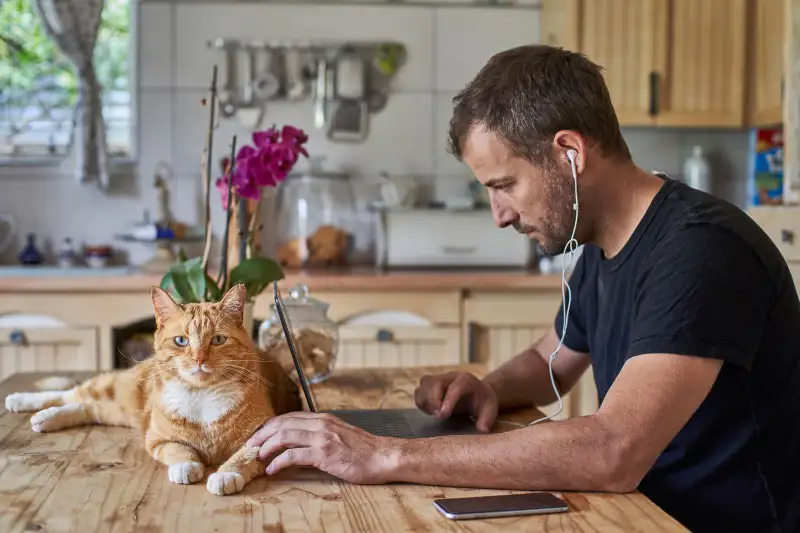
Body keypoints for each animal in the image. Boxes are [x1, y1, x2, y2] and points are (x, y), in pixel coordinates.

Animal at [3, 282, 302, 494]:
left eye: (218, 340)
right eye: (181, 341)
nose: (199, 359)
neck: (202, 396)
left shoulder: (264, 437)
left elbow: (243, 457)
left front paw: (226, 474)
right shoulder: (157, 438)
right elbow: (178, 449)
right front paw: (186, 465)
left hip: (120, 412)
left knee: (88, 407)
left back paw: (45, 418)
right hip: (118, 390)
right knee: (74, 393)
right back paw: (22, 402)